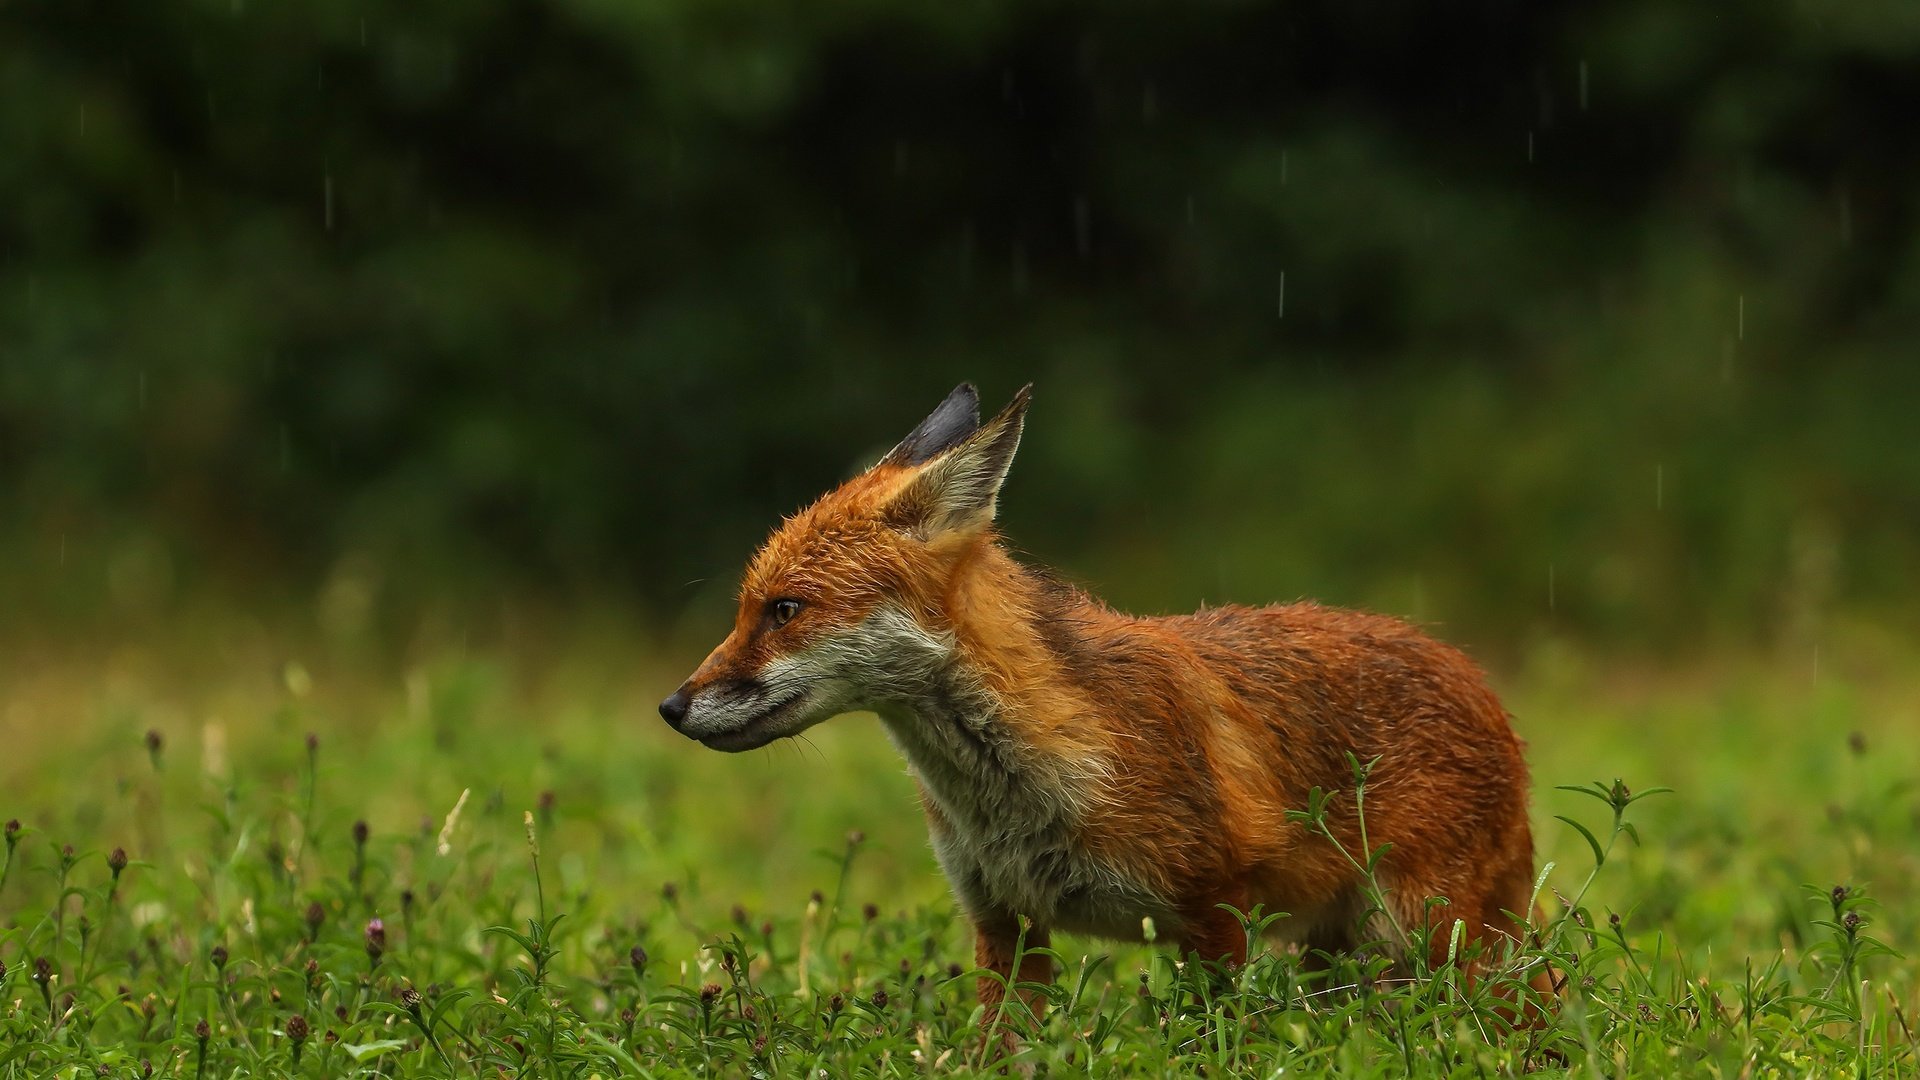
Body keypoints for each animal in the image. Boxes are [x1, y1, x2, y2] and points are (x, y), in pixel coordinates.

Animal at [660, 382, 1543, 1022]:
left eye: (785, 610)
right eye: (747, 608)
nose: (672, 706)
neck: (1020, 789)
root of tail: (1480, 681)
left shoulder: (1217, 915)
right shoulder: (1004, 926)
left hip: (1420, 943)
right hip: (1341, 956)